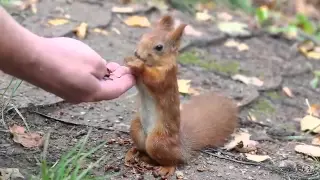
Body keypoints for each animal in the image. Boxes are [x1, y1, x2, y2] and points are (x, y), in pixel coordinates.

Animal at [124, 15, 239, 177]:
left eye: (159, 47)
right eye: (143, 36)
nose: (137, 54)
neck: (156, 64)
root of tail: (182, 148)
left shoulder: (166, 78)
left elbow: (154, 80)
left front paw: (138, 65)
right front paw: (129, 60)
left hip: (158, 141)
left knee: (172, 160)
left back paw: (166, 168)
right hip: (136, 129)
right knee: (145, 151)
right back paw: (134, 153)